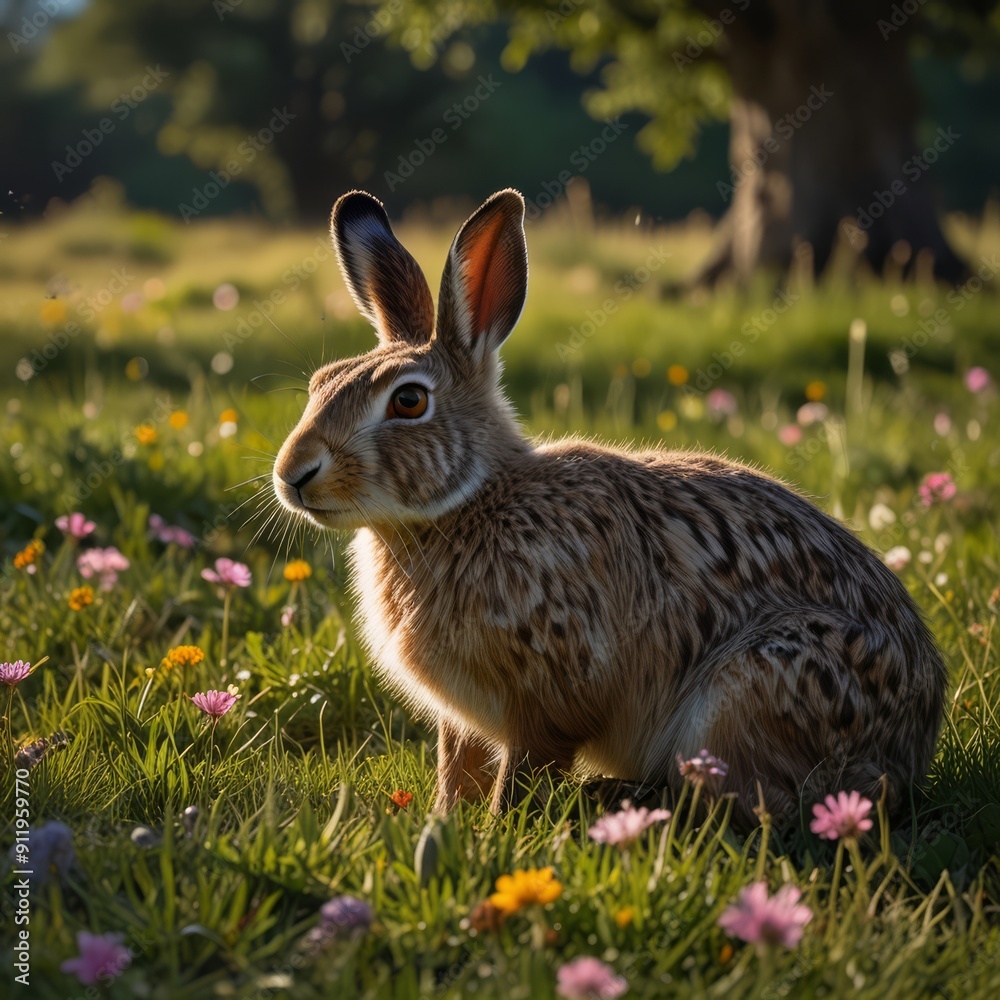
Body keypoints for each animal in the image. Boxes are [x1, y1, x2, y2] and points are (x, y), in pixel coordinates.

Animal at [272, 188, 947, 824]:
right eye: (321, 382)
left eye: (409, 401)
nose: (293, 475)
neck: (470, 504)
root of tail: (911, 743)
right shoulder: (463, 720)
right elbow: (455, 769)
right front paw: (444, 822)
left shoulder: (549, 702)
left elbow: (523, 772)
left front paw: (493, 832)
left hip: (752, 689)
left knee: (759, 804)